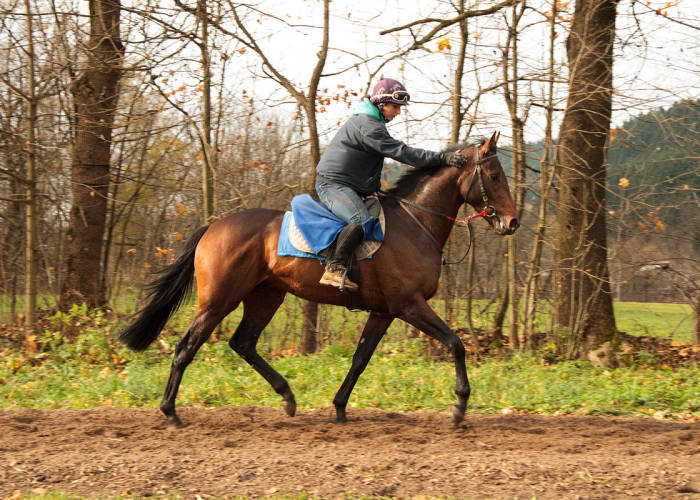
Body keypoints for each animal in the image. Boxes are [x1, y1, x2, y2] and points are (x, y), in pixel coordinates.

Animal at [120, 132, 516, 426]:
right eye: (495, 176)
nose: (512, 222)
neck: (414, 223)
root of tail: (213, 227)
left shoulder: (384, 311)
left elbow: (360, 358)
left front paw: (339, 406)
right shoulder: (409, 305)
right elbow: (456, 344)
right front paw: (460, 406)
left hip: (266, 296)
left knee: (243, 343)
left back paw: (287, 397)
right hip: (218, 300)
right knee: (187, 347)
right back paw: (170, 412)